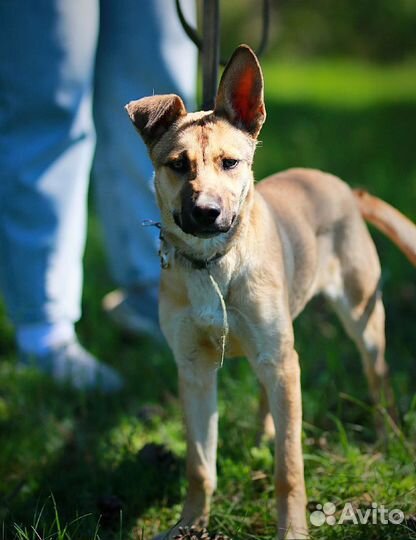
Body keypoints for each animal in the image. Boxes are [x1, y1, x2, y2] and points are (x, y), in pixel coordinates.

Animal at [124, 46, 416, 540]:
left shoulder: (280, 361)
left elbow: (289, 468)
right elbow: (199, 466)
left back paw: (387, 437)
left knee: (377, 377)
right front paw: (189, 524)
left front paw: (293, 529)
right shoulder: (194, 368)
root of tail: (343, 187)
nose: (207, 213)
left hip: (360, 317)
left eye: (230, 163)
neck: (213, 265)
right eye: (178, 165)